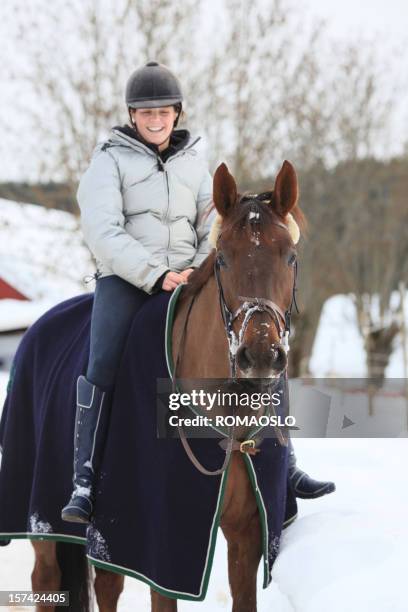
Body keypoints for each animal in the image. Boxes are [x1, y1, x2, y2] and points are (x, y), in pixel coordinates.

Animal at [29, 160, 302, 608]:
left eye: (290, 255)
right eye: (222, 258)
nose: (260, 354)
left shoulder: (247, 539)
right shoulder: (162, 554)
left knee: (107, 586)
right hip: (46, 527)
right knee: (47, 579)